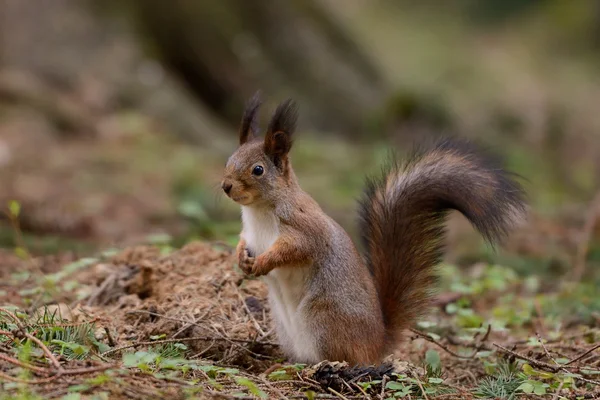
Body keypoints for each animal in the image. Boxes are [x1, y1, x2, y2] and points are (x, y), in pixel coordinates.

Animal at [220, 94, 524, 366]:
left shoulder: (304, 228)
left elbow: (295, 248)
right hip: (285, 328)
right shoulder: (249, 233)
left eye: (258, 170)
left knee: (343, 359)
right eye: (229, 160)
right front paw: (240, 258)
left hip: (323, 320)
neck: (258, 212)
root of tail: (378, 343)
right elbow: (242, 242)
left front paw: (263, 262)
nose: (226, 186)